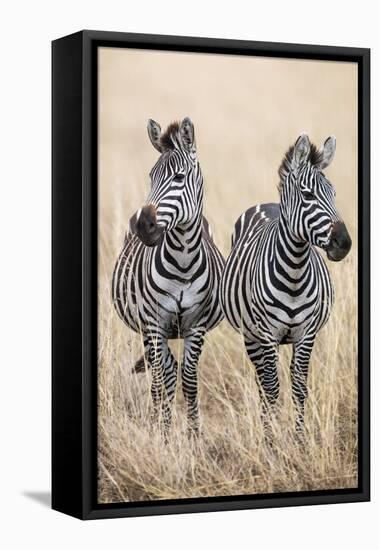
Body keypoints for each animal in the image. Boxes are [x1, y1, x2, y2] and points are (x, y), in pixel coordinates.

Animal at [113, 118, 226, 438]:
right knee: (159, 373)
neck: (183, 262)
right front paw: (162, 433)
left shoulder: (196, 326)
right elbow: (162, 378)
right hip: (147, 330)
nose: (143, 225)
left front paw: (194, 435)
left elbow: (189, 379)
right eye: (151, 177)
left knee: (172, 370)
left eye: (179, 177)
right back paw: (156, 422)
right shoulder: (154, 323)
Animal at [220, 134, 354, 436]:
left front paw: (300, 438)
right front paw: (271, 442)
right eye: (308, 195)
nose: (344, 243)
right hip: (251, 336)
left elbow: (299, 388)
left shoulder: (307, 334)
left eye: (334, 193)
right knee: (262, 381)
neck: (294, 271)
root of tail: (267, 204)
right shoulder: (267, 333)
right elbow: (271, 390)